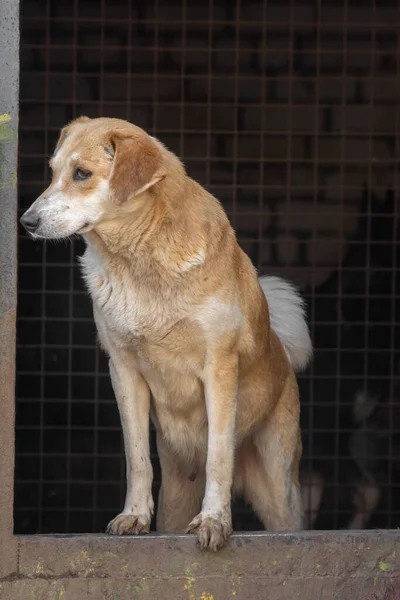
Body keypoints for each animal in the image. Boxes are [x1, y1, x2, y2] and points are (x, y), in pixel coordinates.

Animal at [20, 115, 312, 552]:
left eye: (82, 174)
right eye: (53, 172)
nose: (26, 222)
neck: (141, 258)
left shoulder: (219, 369)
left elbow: (218, 455)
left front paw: (214, 521)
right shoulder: (123, 370)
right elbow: (137, 457)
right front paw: (133, 516)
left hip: (280, 492)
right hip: (176, 496)